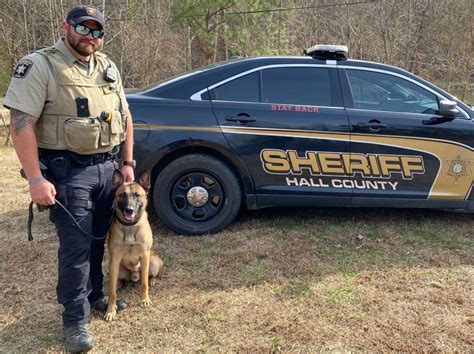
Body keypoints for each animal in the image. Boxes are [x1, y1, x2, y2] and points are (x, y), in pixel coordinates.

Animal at [104, 170, 164, 322]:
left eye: (137, 195)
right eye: (122, 195)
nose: (129, 210)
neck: (130, 227)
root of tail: (134, 276)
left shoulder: (144, 256)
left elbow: (144, 284)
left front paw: (145, 300)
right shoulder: (114, 260)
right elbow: (112, 292)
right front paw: (111, 310)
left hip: (153, 262)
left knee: (148, 276)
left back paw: (152, 281)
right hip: (117, 268)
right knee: (117, 281)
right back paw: (118, 284)